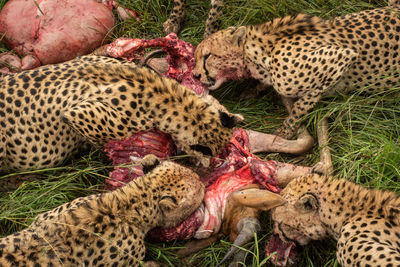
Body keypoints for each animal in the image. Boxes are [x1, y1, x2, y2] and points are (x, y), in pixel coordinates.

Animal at [194, 2, 400, 139]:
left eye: (207, 56)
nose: (195, 75)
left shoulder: (342, 57)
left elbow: (303, 103)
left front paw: (287, 129)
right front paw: (254, 89)